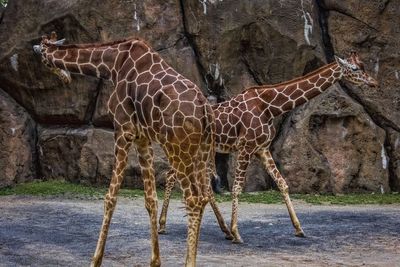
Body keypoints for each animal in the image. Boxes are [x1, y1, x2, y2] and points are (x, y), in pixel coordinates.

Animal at [32, 32, 230, 266]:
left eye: (43, 57)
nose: (65, 78)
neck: (112, 64)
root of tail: (206, 109)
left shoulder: (123, 130)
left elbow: (110, 198)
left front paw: (95, 259)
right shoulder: (142, 138)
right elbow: (150, 199)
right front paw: (155, 261)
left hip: (177, 148)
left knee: (193, 198)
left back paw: (191, 260)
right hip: (201, 151)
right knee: (204, 195)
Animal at [159, 51, 378, 244]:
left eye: (364, 66)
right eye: (356, 68)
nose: (374, 83)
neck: (270, 106)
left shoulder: (262, 148)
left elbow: (282, 183)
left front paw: (299, 228)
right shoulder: (246, 147)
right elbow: (237, 188)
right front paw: (237, 233)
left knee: (191, 182)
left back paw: (220, 229)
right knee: (173, 177)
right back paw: (165, 226)